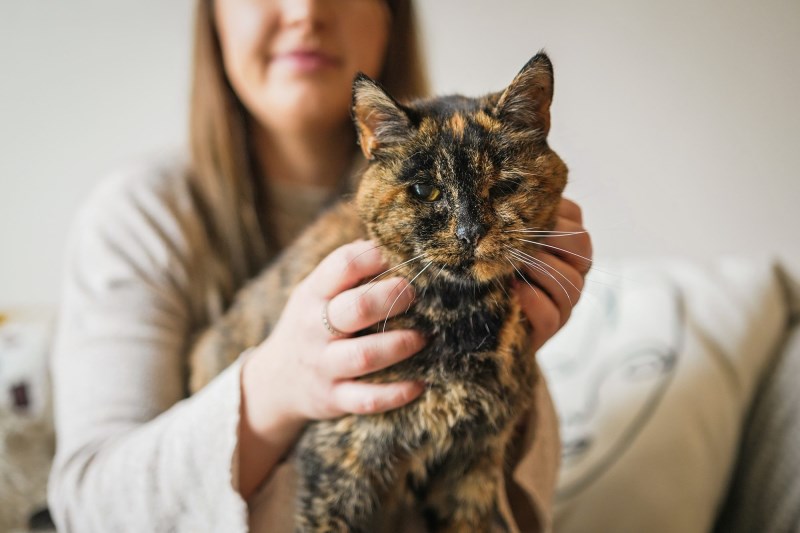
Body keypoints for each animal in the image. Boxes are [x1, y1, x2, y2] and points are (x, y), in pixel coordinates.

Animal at [188, 51, 564, 532]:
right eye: (425, 189)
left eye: (503, 186)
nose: (469, 233)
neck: (461, 317)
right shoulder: (341, 459)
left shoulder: (474, 464)